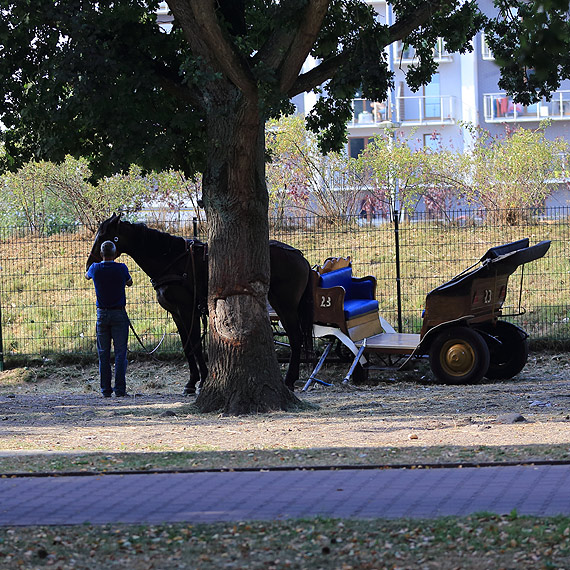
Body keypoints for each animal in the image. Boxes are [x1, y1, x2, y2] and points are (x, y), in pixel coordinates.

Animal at [86, 213, 312, 390]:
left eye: (105, 236)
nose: (90, 263)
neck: (172, 261)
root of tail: (301, 258)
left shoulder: (188, 310)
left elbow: (194, 344)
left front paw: (202, 379)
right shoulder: (177, 314)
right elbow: (187, 347)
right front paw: (192, 381)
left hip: (285, 306)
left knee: (296, 338)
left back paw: (290, 380)